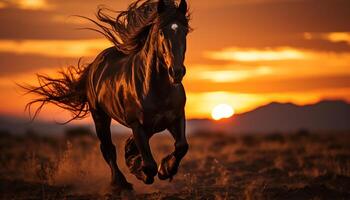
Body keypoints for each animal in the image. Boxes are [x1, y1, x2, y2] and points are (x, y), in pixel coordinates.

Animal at [22, 0, 190, 190]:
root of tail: (95, 65)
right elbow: (149, 164)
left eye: (185, 31)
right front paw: (143, 172)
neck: (156, 88)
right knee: (108, 148)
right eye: (161, 32)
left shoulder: (175, 118)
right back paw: (120, 183)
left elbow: (182, 146)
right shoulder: (137, 124)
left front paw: (165, 170)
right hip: (100, 116)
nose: (176, 72)